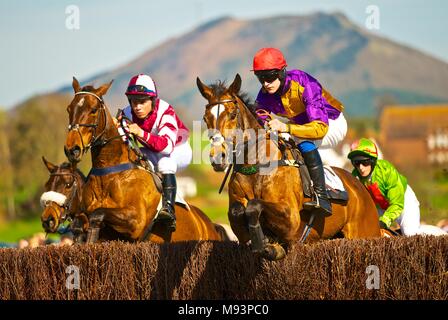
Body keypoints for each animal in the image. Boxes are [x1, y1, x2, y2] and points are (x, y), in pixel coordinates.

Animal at [62, 77, 223, 242]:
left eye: (93, 110)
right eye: (69, 108)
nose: (72, 149)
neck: (108, 173)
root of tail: (209, 224)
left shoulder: (135, 221)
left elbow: (98, 214)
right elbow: (80, 221)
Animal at [197, 73, 382, 260]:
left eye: (233, 114)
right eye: (205, 118)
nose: (218, 157)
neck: (256, 167)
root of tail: (360, 187)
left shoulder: (290, 218)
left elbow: (254, 205)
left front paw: (263, 243)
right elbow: (236, 212)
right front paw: (264, 242)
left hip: (365, 231)